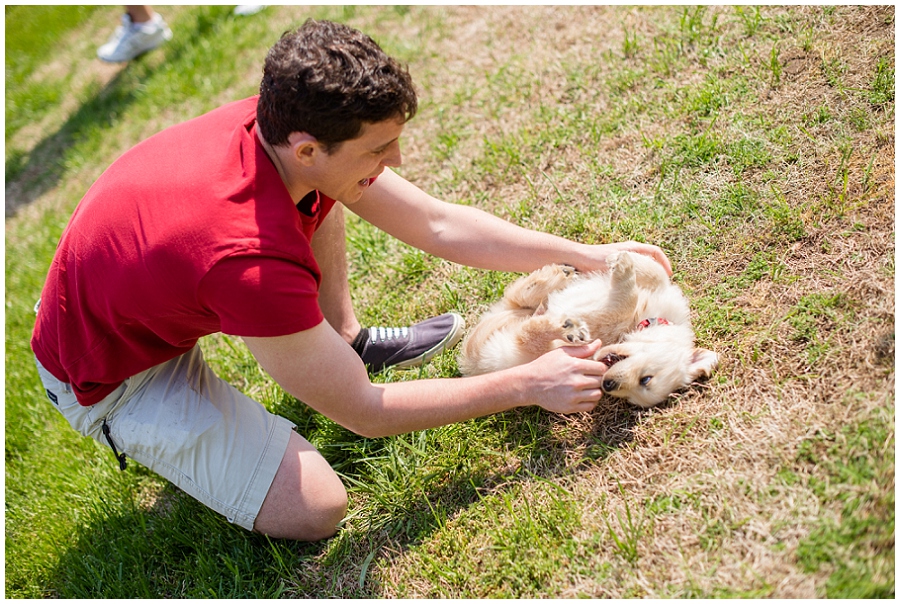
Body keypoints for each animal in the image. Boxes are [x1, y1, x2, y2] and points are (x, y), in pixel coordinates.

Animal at [458, 252, 716, 408]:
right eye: (646, 379)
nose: (608, 385)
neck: (643, 321)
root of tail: (474, 365)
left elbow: (626, 301)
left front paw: (623, 267)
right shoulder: (658, 293)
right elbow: (655, 273)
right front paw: (622, 259)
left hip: (527, 349)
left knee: (530, 329)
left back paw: (567, 326)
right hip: (516, 313)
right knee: (519, 297)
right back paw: (555, 276)